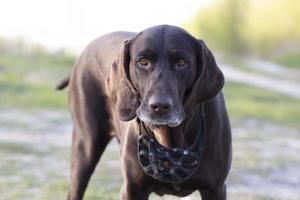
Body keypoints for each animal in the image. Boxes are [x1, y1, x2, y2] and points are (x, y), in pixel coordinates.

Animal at [57, 25, 233, 200]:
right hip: (85, 149)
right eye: (143, 62)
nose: (159, 106)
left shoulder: (215, 189)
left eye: (181, 62)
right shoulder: (132, 189)